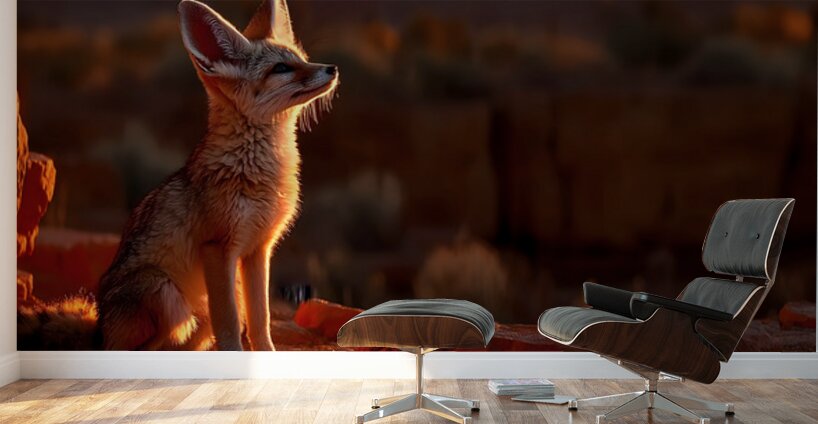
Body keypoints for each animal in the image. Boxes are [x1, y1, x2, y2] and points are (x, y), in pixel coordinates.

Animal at [97, 0, 338, 351]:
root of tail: (99, 326)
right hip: (164, 291)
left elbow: (260, 319)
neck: (258, 174)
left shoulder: (258, 250)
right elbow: (230, 322)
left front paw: (267, 355)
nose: (332, 68)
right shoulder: (218, 248)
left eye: (301, 58)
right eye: (281, 68)